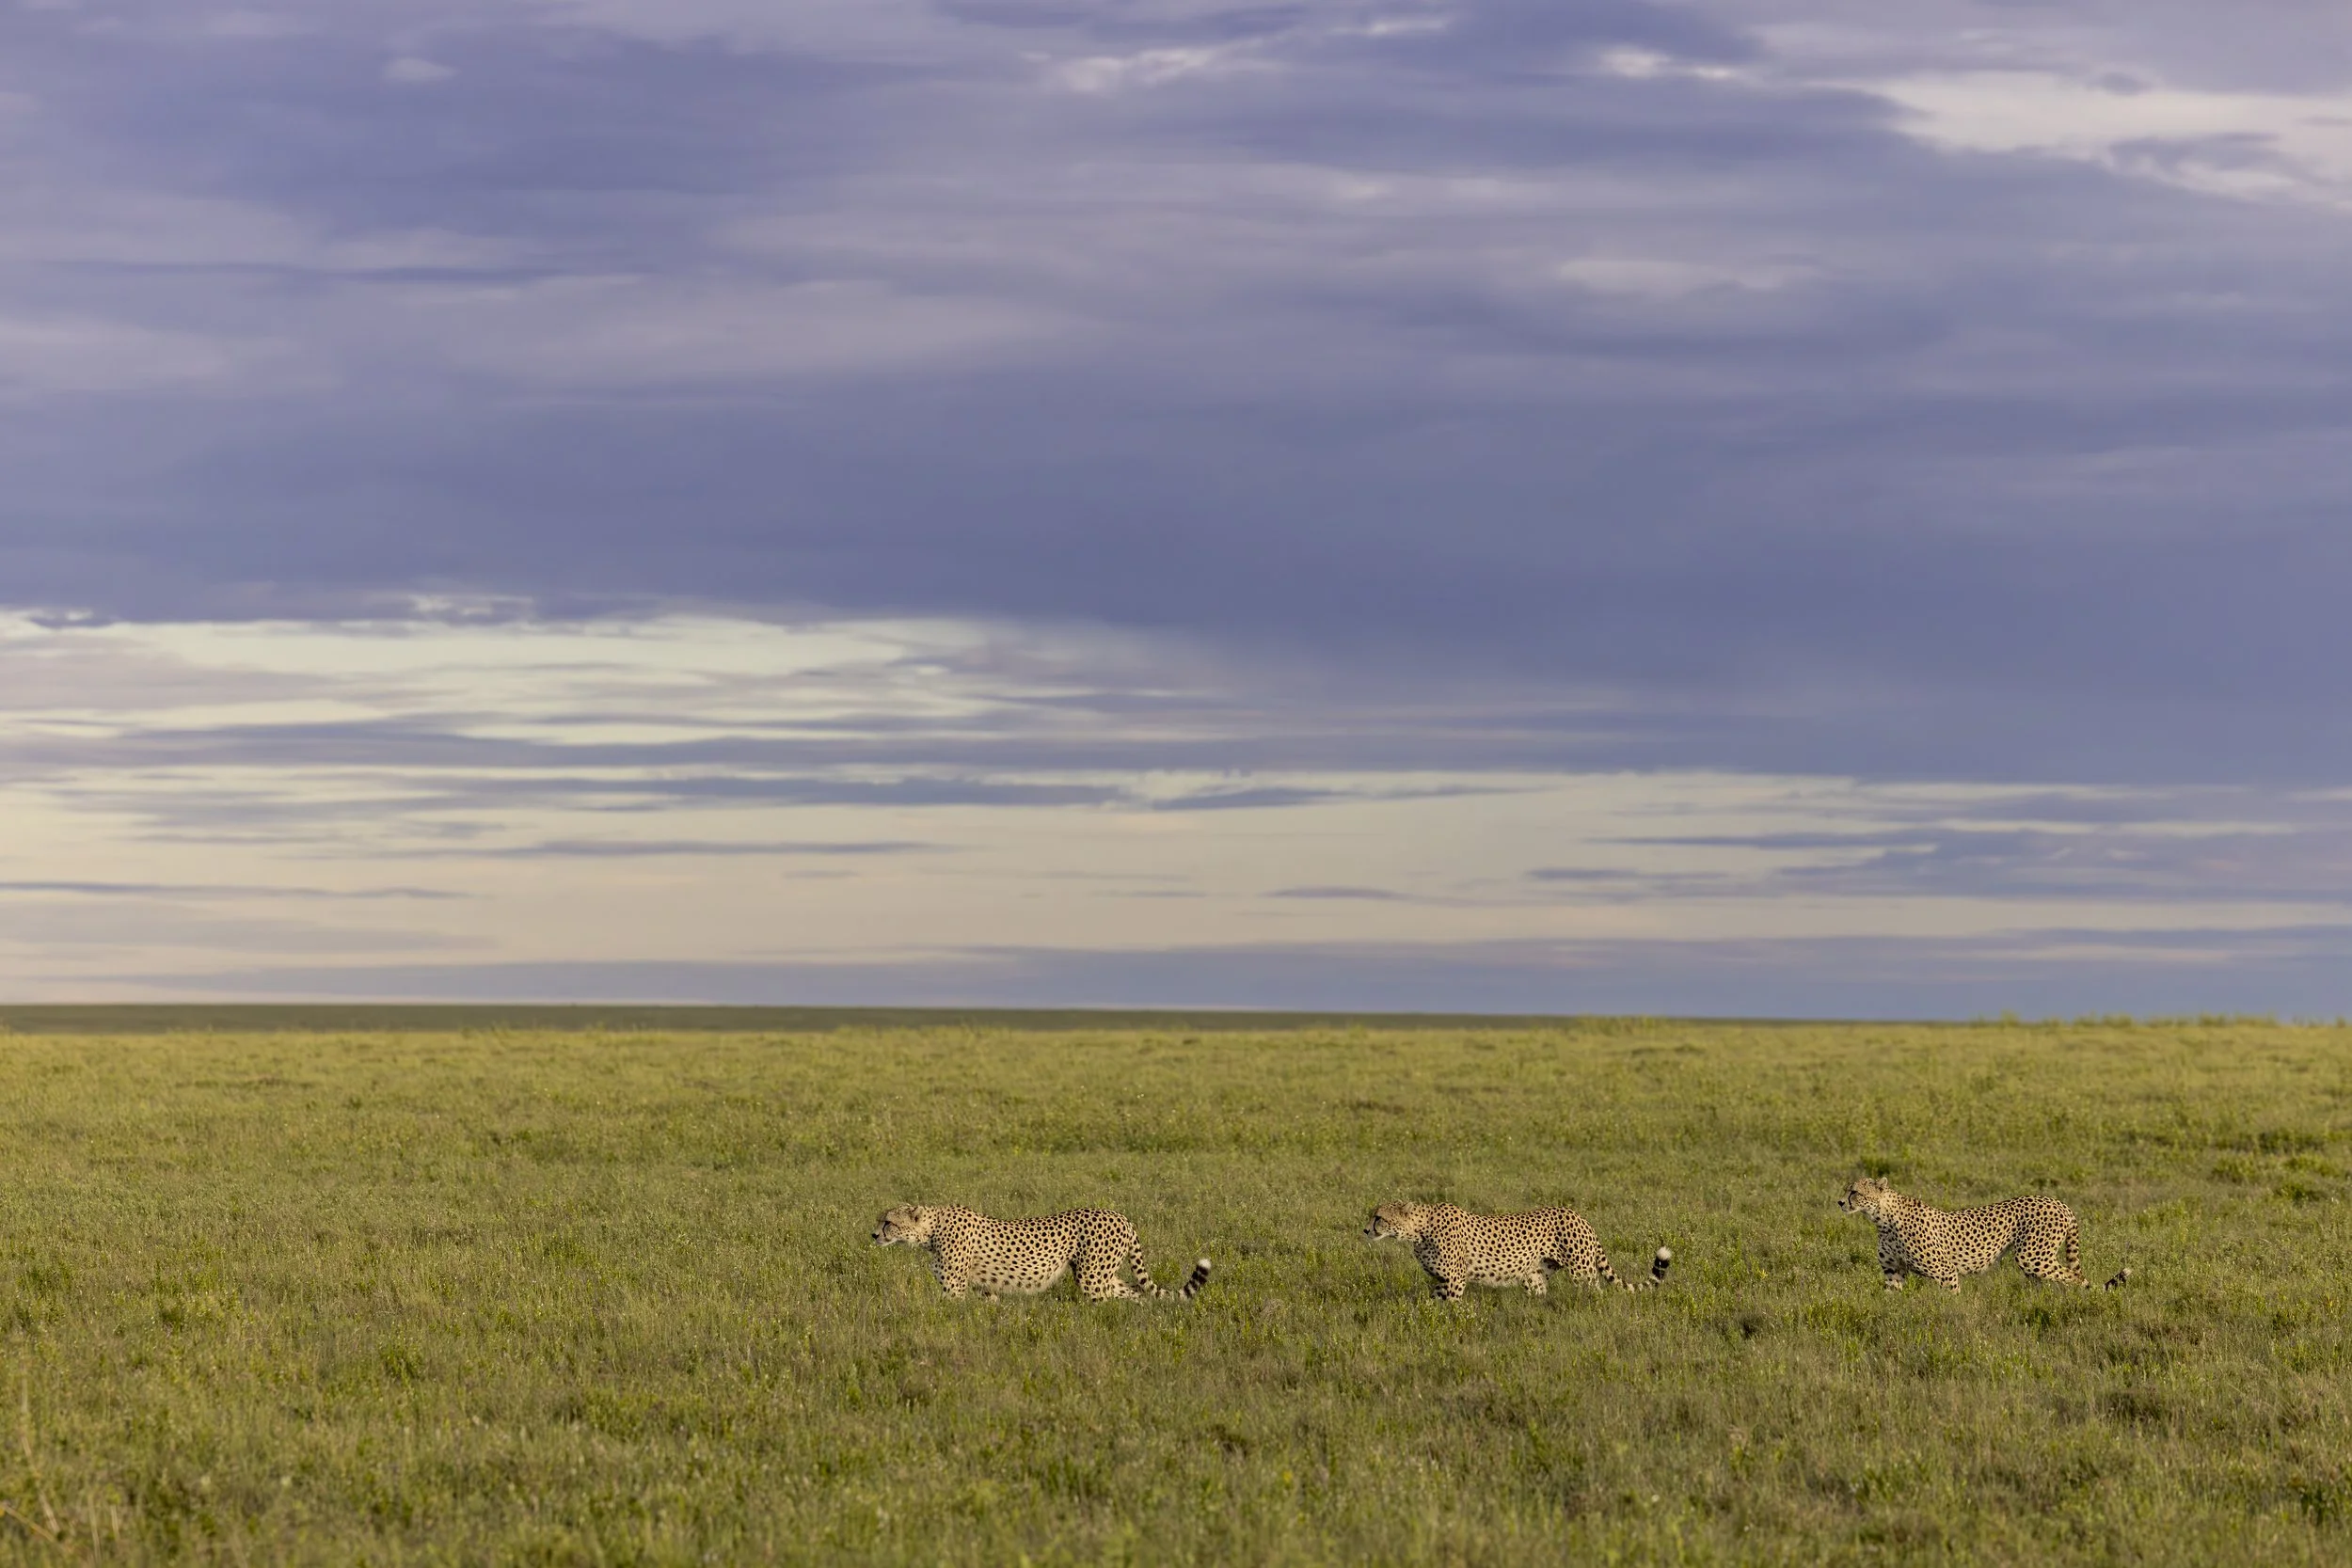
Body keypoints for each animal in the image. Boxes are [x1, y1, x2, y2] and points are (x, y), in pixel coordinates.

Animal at [871, 1203, 1211, 1302]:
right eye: (880, 1220)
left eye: (888, 1222)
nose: (873, 1234)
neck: (931, 1229)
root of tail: (1120, 1215)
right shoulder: (984, 1288)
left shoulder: (954, 1288)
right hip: (1102, 1274)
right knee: (1134, 1293)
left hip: (1092, 1277)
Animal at [1365, 1201, 1671, 1302]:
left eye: (1378, 1217)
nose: (1366, 1230)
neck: (1418, 1230)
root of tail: (1579, 1215)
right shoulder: (1442, 1281)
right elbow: (1431, 1302)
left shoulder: (1455, 1279)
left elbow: (1452, 1309)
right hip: (1534, 1277)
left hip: (1582, 1271)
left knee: (1595, 1292)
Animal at [1838, 1176, 2131, 1293]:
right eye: (1845, 1189)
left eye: (1855, 1192)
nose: (1840, 1202)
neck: (1882, 1219)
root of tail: (2058, 1202)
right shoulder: (1893, 1272)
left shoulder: (1945, 1271)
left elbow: (1951, 1300)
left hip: (2032, 1256)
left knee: (2076, 1277)